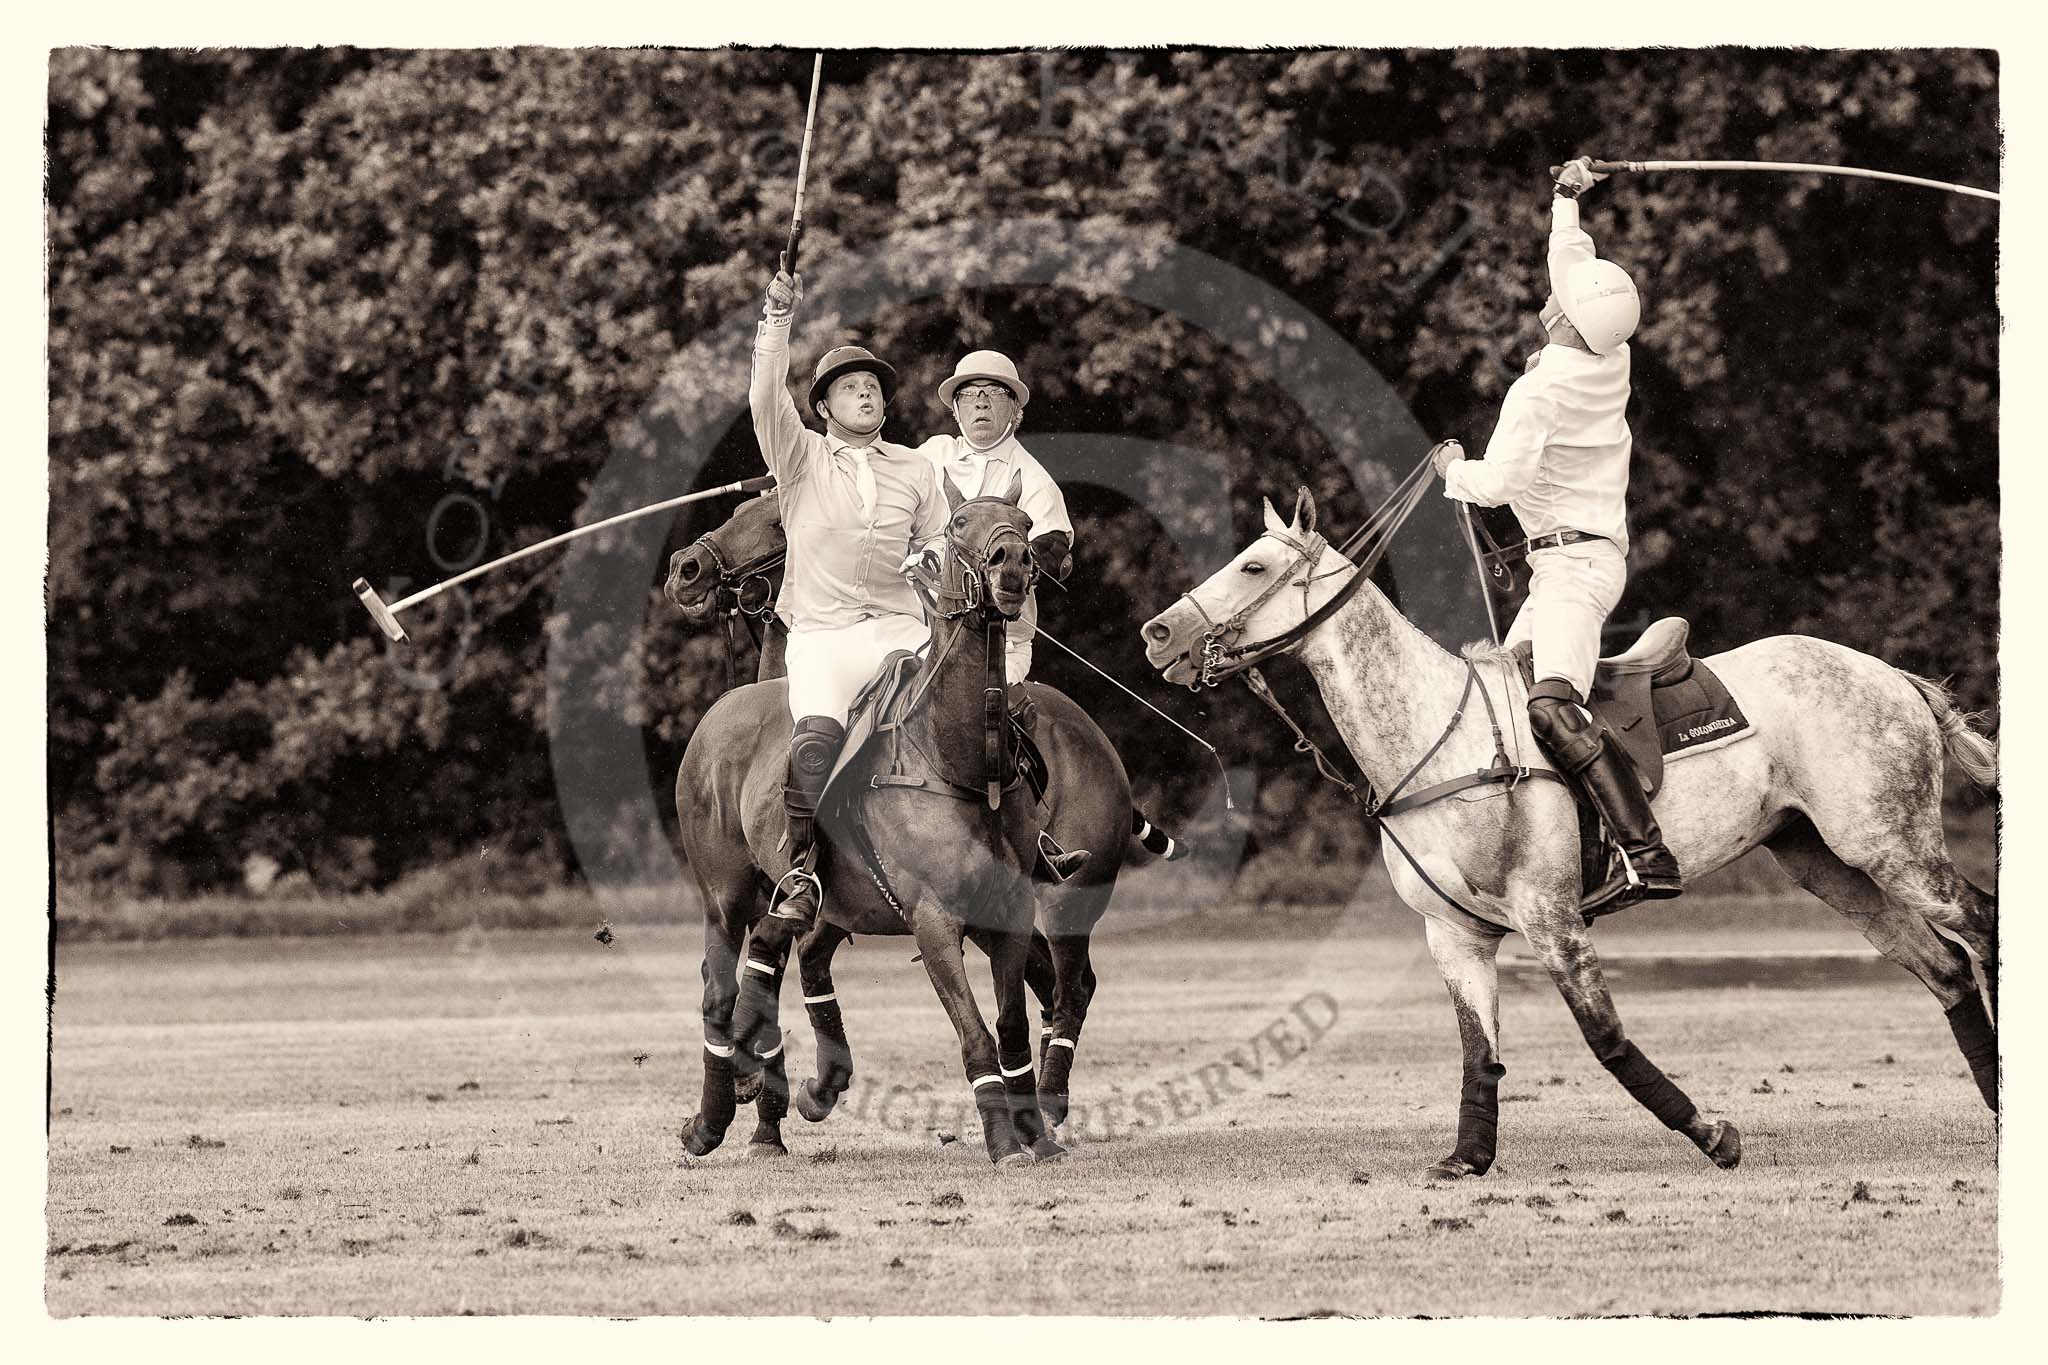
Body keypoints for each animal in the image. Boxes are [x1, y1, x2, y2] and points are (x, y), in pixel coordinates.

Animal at [1146, 493, 1990, 1186]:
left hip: (1891, 844)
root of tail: (1893, 676)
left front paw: (1714, 1134)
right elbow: (1478, 1050)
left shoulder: (1551, 918)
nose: (1157, 633)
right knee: (1946, 967)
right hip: (1827, 863)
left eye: (1254, 564)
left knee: (1978, 925)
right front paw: (1466, 1158)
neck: (1434, 738)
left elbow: (1605, 1037)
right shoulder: (1455, 934)